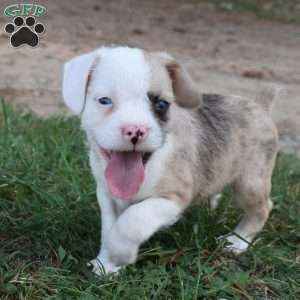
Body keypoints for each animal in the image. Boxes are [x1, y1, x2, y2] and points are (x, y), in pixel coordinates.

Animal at [62, 46, 278, 274]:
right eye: (104, 101)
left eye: (161, 104)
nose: (135, 130)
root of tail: (260, 105)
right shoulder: (107, 195)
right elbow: (109, 227)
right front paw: (106, 264)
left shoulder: (173, 198)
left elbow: (132, 220)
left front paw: (120, 253)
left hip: (250, 185)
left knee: (263, 209)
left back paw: (237, 241)